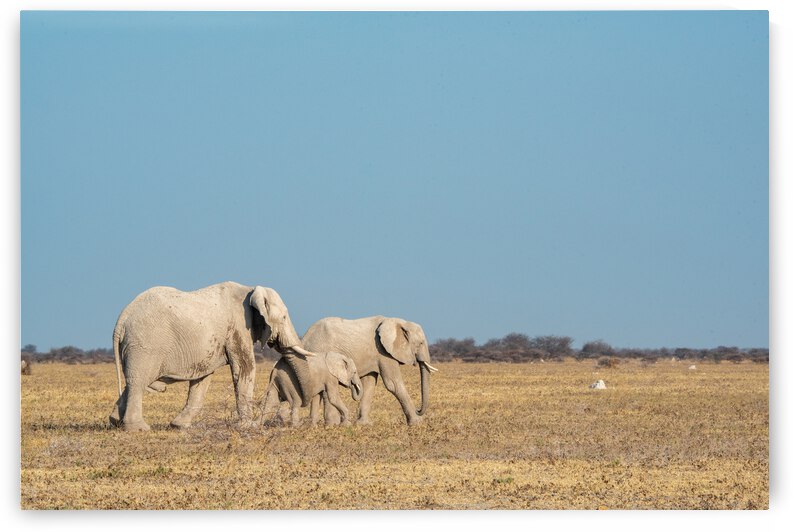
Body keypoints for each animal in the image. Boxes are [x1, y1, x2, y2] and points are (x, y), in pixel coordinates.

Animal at [108, 281, 316, 431]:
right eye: (283, 318)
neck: (250, 290)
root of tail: (121, 320)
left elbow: (203, 378)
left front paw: (179, 426)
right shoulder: (239, 326)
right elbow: (244, 368)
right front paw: (247, 426)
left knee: (134, 382)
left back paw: (115, 421)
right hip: (145, 345)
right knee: (139, 382)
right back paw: (138, 428)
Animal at [301, 316, 438, 426]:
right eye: (420, 343)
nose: (418, 410)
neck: (398, 321)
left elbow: (369, 383)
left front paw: (364, 424)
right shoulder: (383, 352)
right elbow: (393, 384)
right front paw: (417, 423)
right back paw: (333, 424)